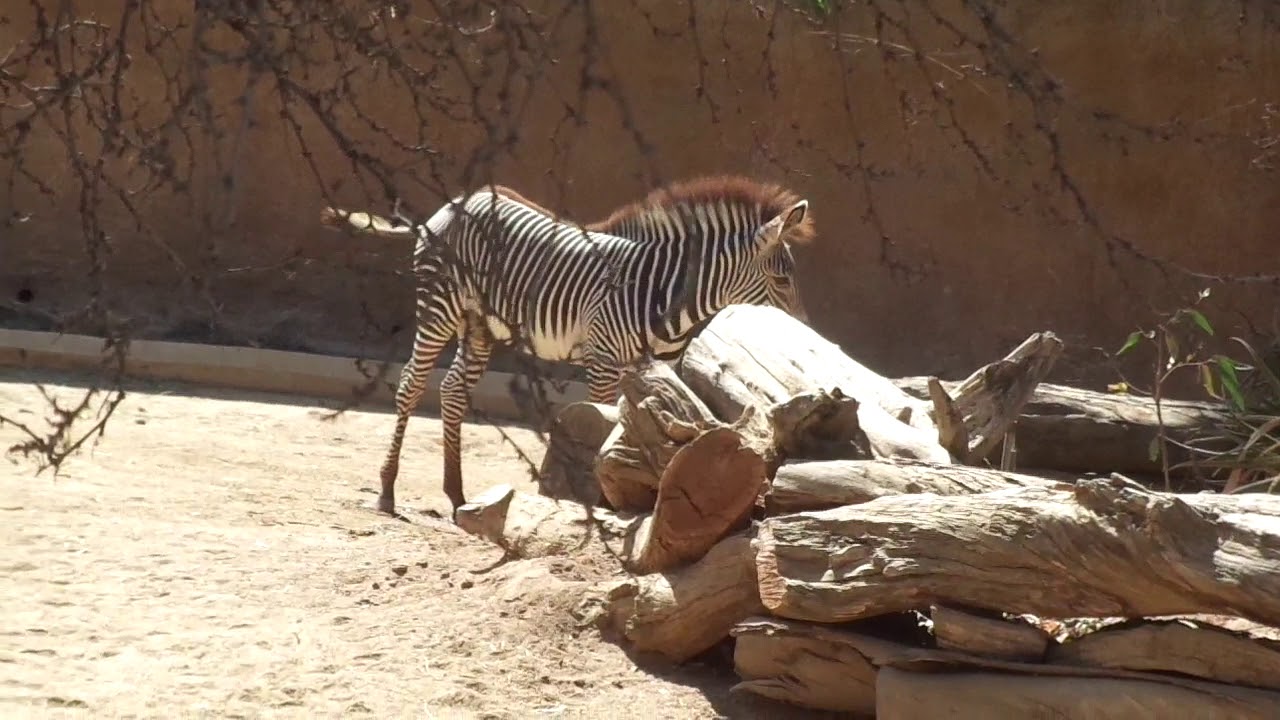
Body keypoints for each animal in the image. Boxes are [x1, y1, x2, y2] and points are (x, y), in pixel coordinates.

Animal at [319, 175, 815, 517]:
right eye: (782, 280)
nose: (805, 333)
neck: (663, 294)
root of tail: (456, 202)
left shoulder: (662, 369)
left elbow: (662, 432)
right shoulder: (604, 361)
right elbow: (606, 427)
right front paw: (610, 502)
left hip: (480, 327)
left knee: (453, 392)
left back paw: (457, 495)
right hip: (439, 309)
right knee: (410, 385)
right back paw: (387, 491)